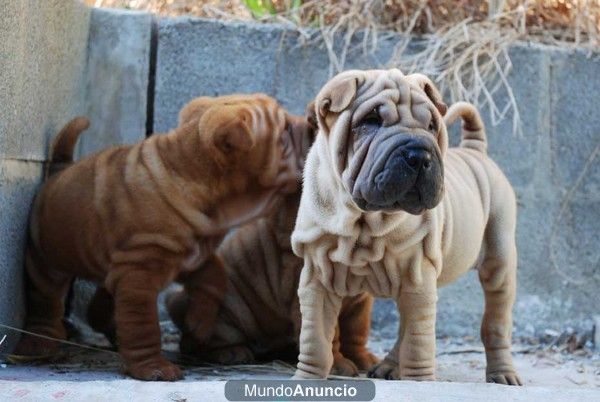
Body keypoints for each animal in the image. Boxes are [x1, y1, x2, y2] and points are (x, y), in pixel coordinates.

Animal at [10, 93, 304, 380]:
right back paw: (38, 344)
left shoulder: (192, 257)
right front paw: (153, 368)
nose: (309, 124)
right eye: (285, 131)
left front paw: (198, 324)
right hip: (46, 261)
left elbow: (215, 278)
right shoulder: (140, 272)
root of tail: (59, 171)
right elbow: (143, 325)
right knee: (45, 300)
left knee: (100, 303)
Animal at [164, 104, 378, 376]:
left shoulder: (362, 299)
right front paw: (338, 365)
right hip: (230, 310)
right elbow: (329, 334)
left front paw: (364, 360)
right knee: (199, 341)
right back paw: (233, 353)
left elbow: (357, 330)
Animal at [290, 70, 520, 386]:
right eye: (371, 120)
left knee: (495, 320)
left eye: (432, 125)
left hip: (498, 258)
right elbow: (315, 339)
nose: (419, 155)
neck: (365, 222)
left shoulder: (418, 276)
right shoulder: (318, 279)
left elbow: (418, 342)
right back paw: (390, 366)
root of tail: (475, 151)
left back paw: (503, 373)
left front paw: (420, 383)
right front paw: (307, 379)